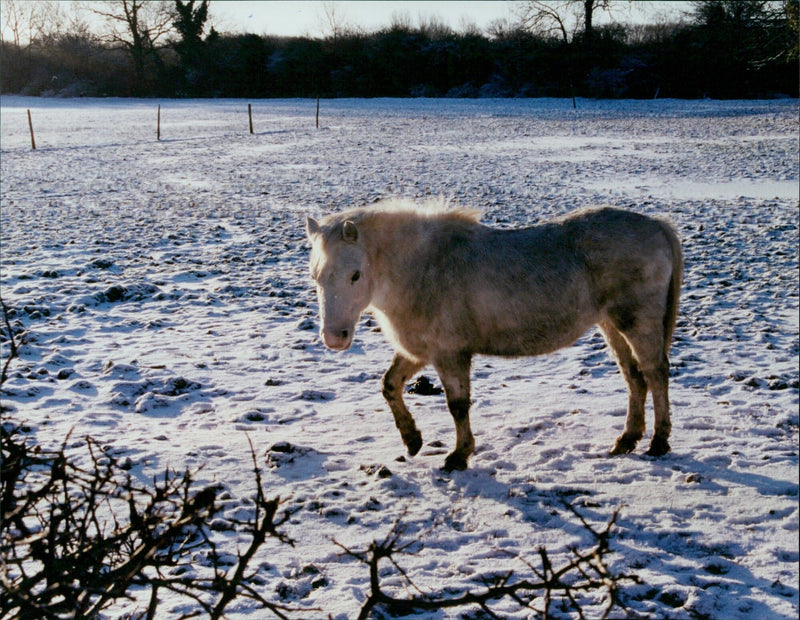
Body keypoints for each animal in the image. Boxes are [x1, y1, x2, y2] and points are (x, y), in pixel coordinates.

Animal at [306, 199, 680, 470]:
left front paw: (458, 456)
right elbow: (389, 385)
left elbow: (457, 405)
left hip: (637, 322)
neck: (423, 268)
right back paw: (627, 440)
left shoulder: (449, 354)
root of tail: (657, 226)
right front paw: (413, 440)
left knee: (655, 374)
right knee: (634, 378)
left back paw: (658, 442)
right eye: (316, 275)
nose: (335, 338)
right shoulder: (419, 352)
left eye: (355, 275)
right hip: (612, 326)